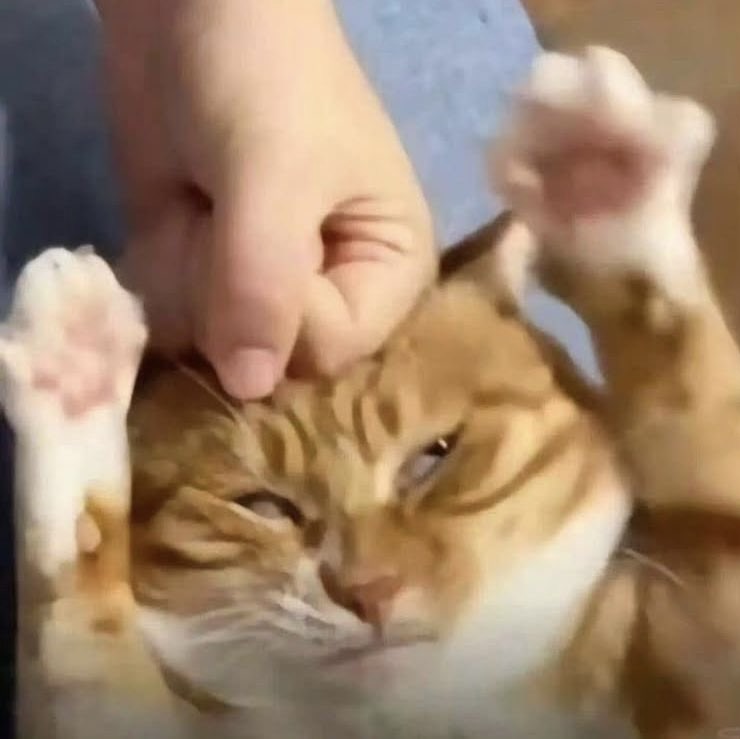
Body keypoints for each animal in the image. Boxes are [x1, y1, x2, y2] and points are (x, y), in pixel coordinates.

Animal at [5, 46, 740, 738]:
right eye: (263, 505)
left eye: (434, 456)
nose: (370, 592)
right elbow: (83, 622)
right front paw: (75, 367)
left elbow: (701, 408)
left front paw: (601, 179)